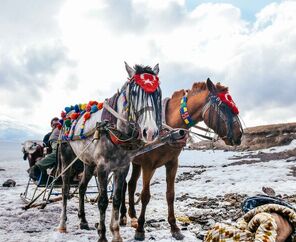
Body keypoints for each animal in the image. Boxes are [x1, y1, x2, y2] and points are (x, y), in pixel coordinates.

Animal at [58, 62, 162, 242]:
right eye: (134, 92)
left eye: (156, 93)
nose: (150, 132)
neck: (114, 129)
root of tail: (69, 115)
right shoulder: (103, 168)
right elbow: (103, 201)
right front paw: (102, 235)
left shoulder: (122, 168)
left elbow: (117, 199)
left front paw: (116, 233)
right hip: (67, 159)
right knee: (65, 190)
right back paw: (63, 224)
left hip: (88, 162)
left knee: (82, 187)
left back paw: (83, 220)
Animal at [120, 79, 243, 240]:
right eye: (223, 106)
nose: (239, 134)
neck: (169, 131)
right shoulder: (148, 165)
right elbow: (145, 196)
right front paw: (140, 229)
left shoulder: (172, 164)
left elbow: (170, 195)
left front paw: (174, 227)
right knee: (122, 185)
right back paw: (123, 216)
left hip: (136, 163)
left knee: (131, 184)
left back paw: (132, 215)